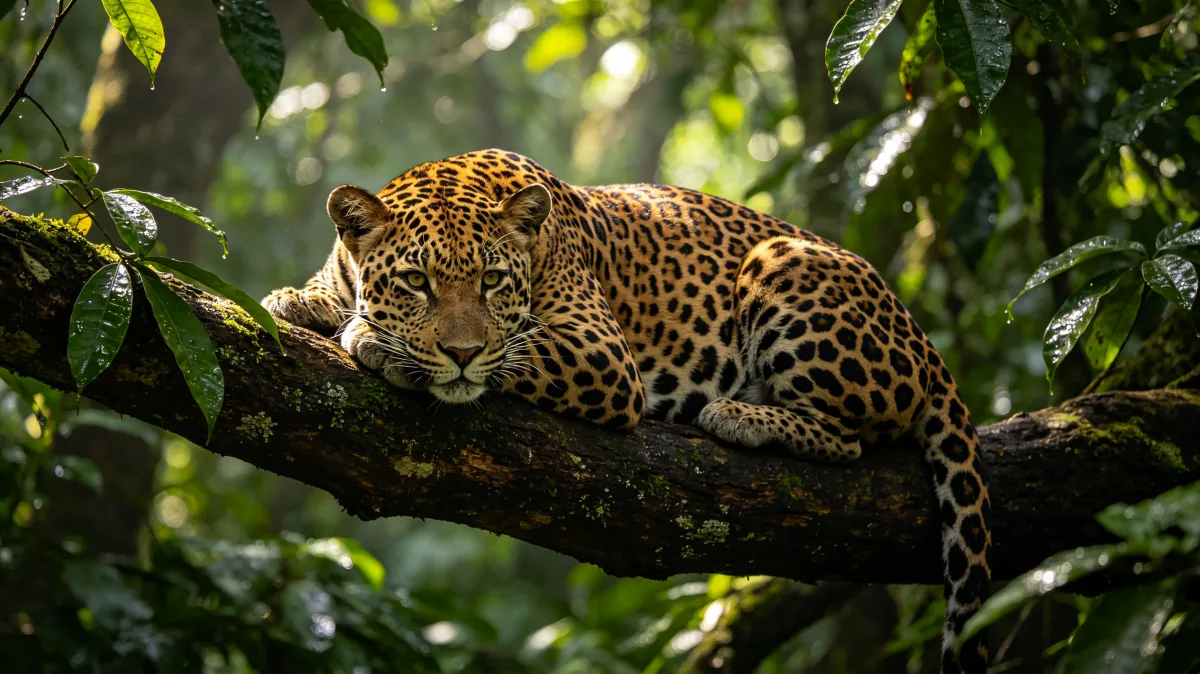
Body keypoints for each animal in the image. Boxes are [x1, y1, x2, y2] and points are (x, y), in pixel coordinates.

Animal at [263, 149, 992, 674]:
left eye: (493, 282)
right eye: (417, 281)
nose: (461, 352)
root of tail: (925, 343)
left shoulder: (599, 353)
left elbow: (513, 353)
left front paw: (376, 342)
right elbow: (318, 295)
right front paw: (298, 301)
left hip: (782, 264)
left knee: (854, 437)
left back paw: (740, 415)